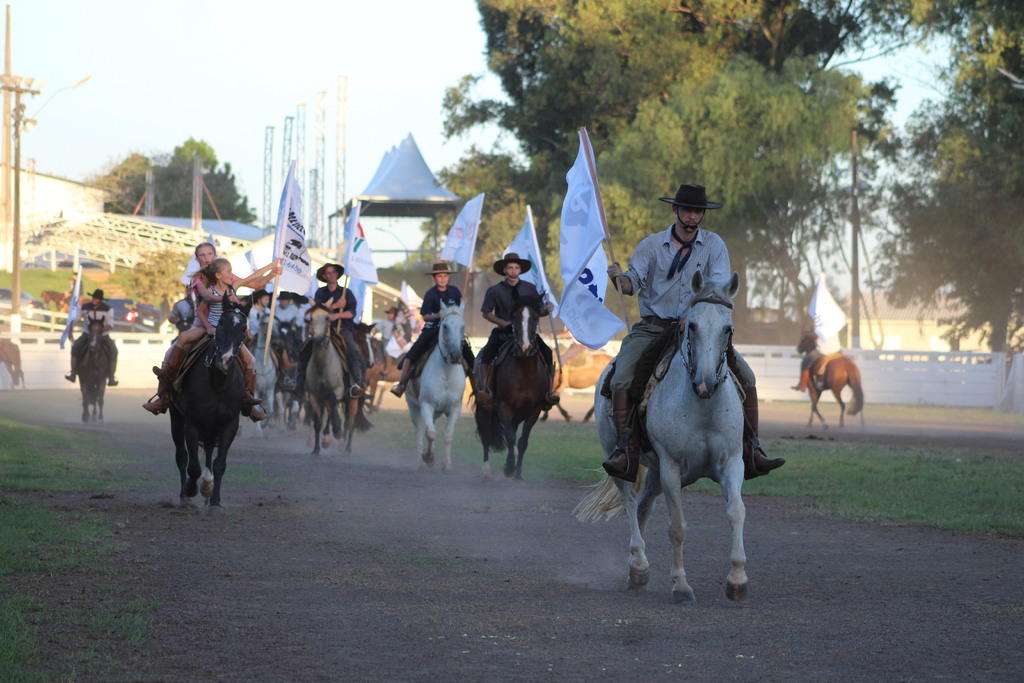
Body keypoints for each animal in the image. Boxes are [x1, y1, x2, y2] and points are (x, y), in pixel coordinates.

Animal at [405, 301, 468, 473]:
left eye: (462, 326)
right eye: (445, 326)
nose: (455, 354)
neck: (446, 372)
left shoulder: (454, 408)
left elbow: (448, 436)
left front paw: (446, 465)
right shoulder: (427, 405)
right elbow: (430, 434)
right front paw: (427, 457)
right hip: (413, 408)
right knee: (420, 432)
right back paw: (421, 461)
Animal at [581, 270, 749, 602]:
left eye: (728, 329)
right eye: (692, 325)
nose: (705, 383)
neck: (703, 408)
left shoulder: (732, 463)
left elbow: (736, 512)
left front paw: (737, 579)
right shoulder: (671, 468)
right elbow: (677, 527)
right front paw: (681, 585)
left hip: (656, 474)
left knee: (643, 507)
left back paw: (635, 570)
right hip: (619, 459)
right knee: (631, 503)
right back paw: (639, 563)